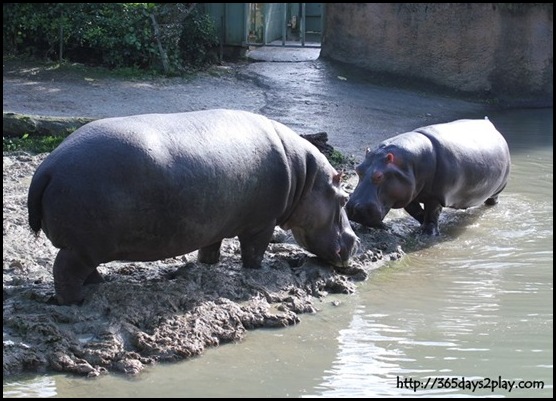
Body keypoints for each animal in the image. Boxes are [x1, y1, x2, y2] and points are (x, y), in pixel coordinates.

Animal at [27, 108, 356, 304]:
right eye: (344, 199)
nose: (356, 240)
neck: (306, 177)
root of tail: (47, 168)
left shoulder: (215, 225)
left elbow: (210, 248)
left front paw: (206, 266)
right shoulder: (262, 224)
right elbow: (254, 252)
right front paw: (257, 271)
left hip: (87, 247)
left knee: (84, 269)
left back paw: (97, 286)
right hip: (83, 246)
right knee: (64, 270)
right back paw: (76, 302)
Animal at [348, 116, 512, 234]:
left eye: (379, 176)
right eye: (358, 169)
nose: (354, 208)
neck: (408, 163)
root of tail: (490, 123)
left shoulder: (435, 196)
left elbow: (432, 212)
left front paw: (428, 233)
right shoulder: (407, 193)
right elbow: (415, 211)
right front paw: (422, 224)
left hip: (497, 190)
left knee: (492, 199)